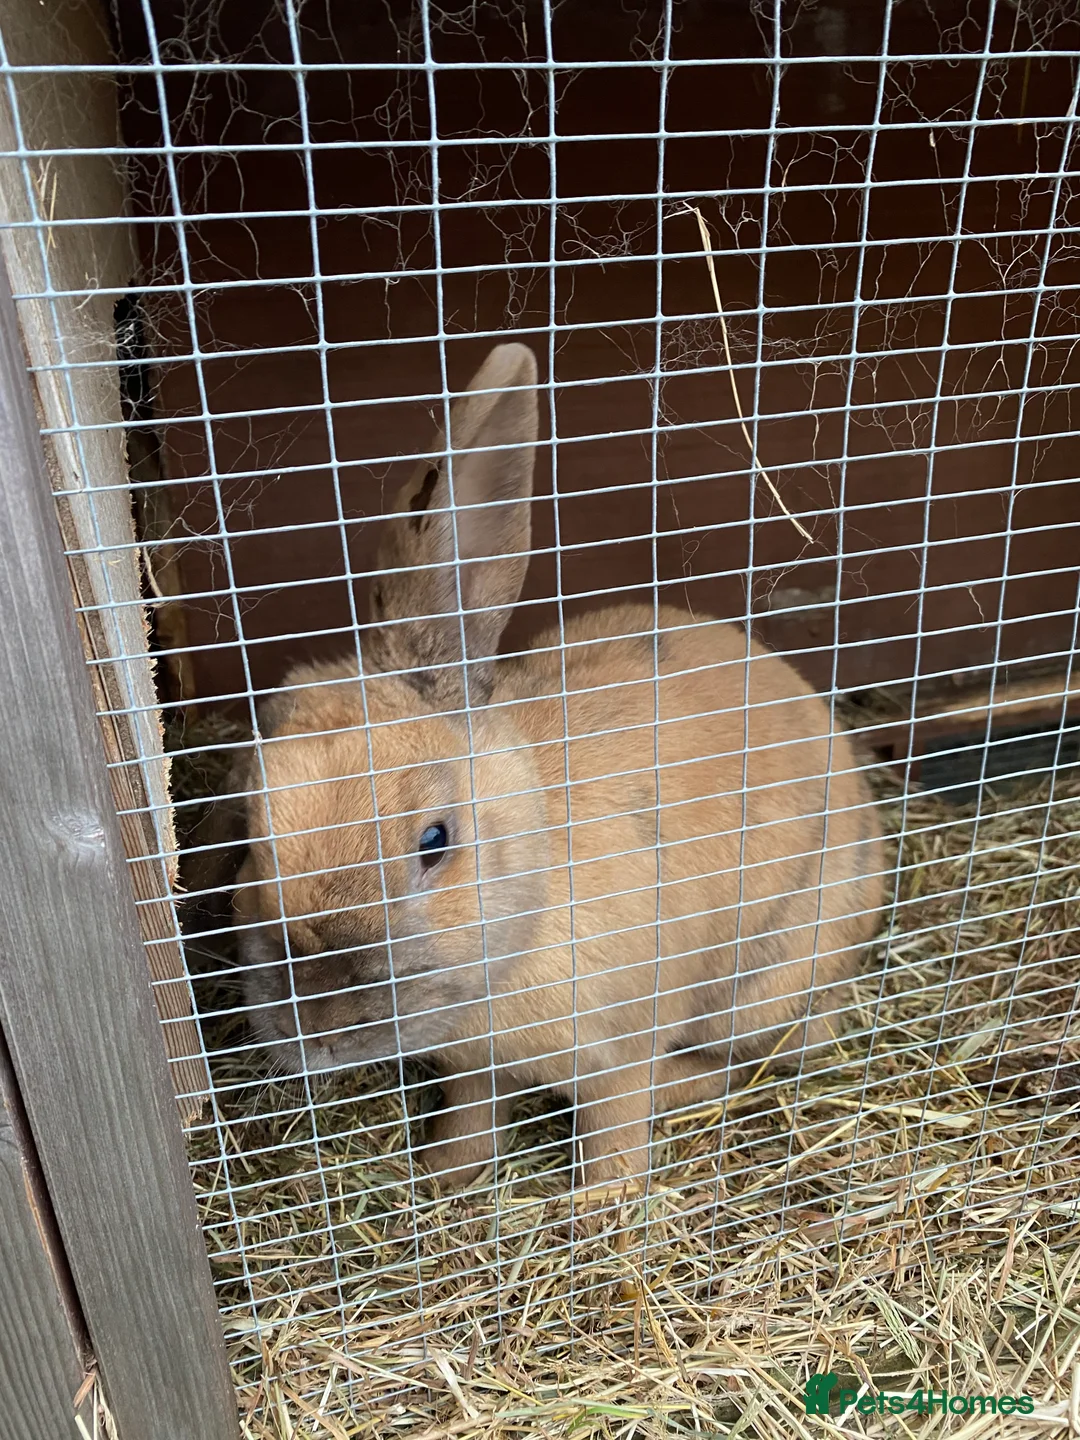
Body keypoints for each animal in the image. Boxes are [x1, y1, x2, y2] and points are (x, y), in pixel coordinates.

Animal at [231, 341, 885, 1190]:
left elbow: (615, 1127)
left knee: (759, 1057)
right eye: (248, 836)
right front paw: (449, 1178)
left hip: (773, 974)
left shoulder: (623, 1046)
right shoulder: (472, 1065)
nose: (315, 1024)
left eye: (435, 841)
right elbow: (473, 1114)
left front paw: (603, 1209)